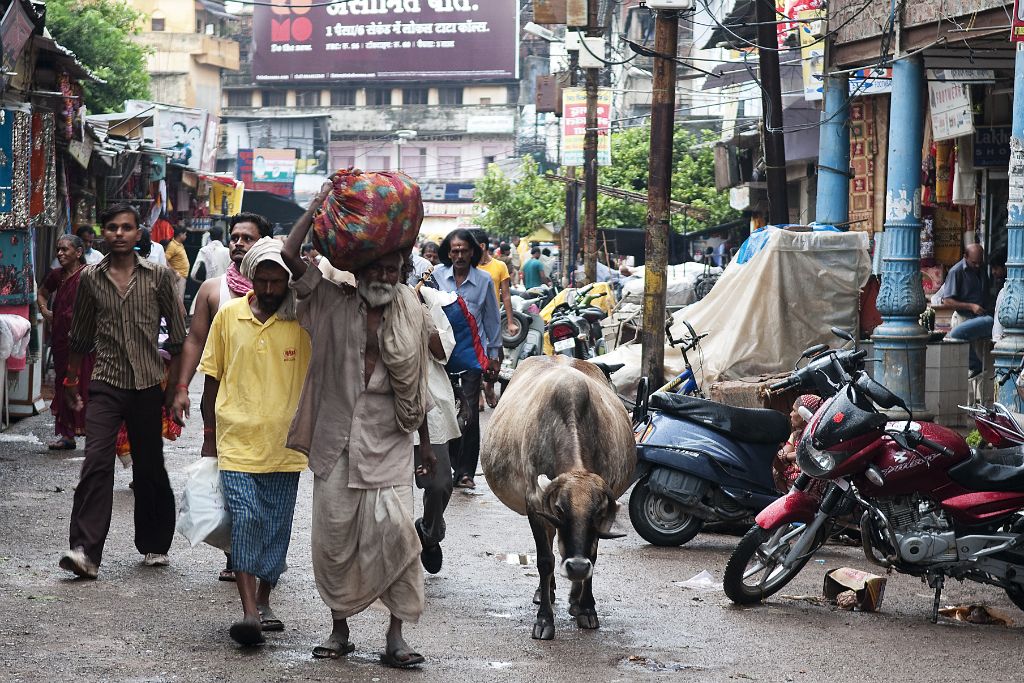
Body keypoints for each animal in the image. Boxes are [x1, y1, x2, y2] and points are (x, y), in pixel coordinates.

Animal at [479, 356, 630, 638]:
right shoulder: (536, 506)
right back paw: (545, 591)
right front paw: (544, 619)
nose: (577, 567)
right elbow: (545, 561)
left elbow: (592, 555)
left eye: (597, 512)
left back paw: (573, 599)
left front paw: (587, 608)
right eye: (560, 508)